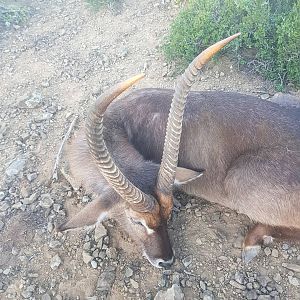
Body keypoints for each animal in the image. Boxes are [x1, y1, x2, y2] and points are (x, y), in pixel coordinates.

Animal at [56, 32, 300, 268]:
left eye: (169, 214)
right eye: (136, 221)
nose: (166, 261)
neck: (116, 123)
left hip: (237, 179)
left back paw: (252, 242)